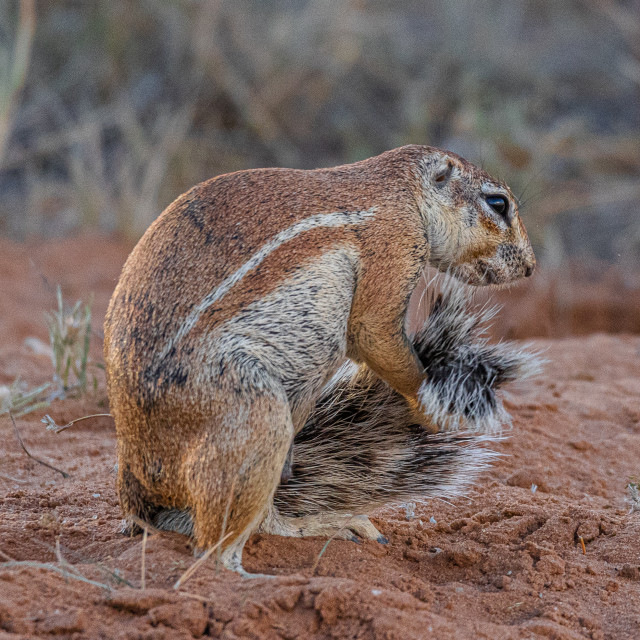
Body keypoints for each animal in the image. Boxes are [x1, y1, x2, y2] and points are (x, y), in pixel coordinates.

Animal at [105, 145, 536, 576]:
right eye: (497, 203)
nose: (531, 267)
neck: (406, 190)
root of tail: (136, 482)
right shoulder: (396, 244)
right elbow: (375, 335)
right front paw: (431, 410)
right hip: (256, 416)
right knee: (213, 549)